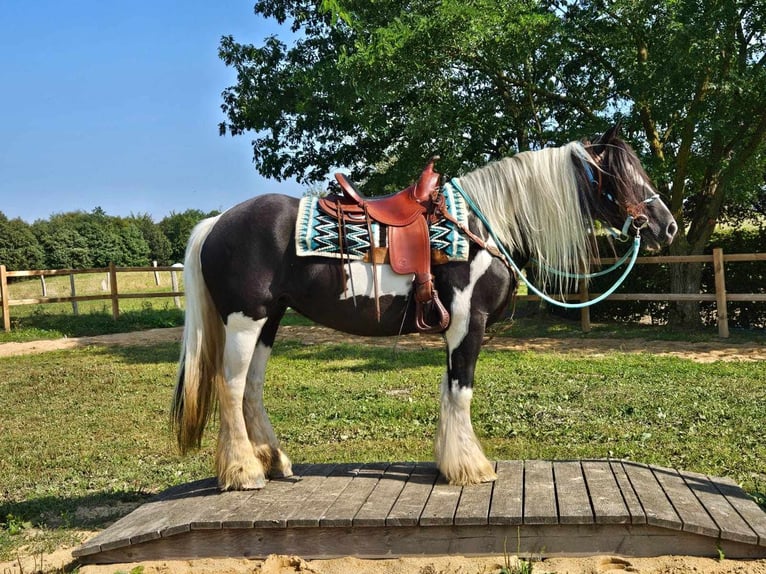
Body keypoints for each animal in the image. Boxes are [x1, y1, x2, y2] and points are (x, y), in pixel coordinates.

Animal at [172, 126, 680, 490]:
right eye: (623, 175)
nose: (668, 226)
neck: (484, 226)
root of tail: (218, 222)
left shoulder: (454, 327)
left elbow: (448, 391)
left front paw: (450, 462)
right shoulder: (468, 324)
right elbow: (461, 391)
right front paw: (471, 468)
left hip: (270, 320)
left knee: (252, 388)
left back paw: (274, 462)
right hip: (245, 321)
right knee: (231, 386)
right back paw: (244, 473)